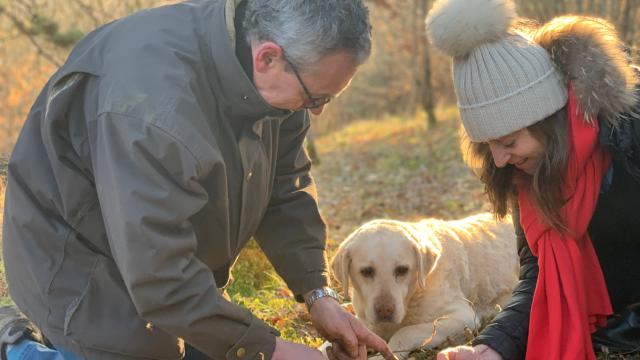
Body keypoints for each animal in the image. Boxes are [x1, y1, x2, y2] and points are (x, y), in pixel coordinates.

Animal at [332, 214, 516, 358]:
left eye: (402, 270)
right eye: (366, 271)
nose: (385, 310)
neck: (414, 294)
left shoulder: (463, 316)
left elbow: (406, 331)